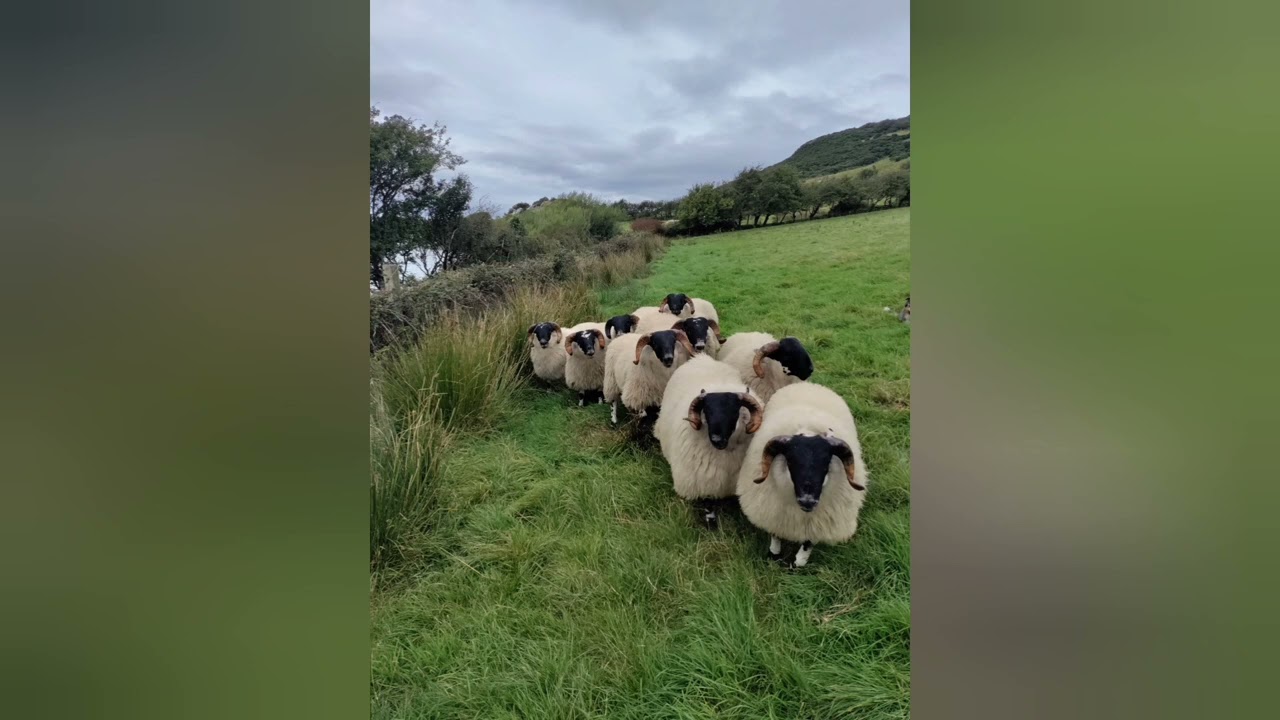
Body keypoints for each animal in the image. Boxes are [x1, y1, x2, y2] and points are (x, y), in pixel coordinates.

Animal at [654, 354, 765, 527]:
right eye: (706, 411)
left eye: (734, 411)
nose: (717, 439)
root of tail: (700, 358)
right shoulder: (703, 482)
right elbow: (708, 506)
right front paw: (711, 525)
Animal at [735, 382, 868, 568]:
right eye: (790, 461)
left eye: (826, 463)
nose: (808, 501)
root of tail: (809, 384)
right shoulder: (774, 510)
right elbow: (776, 533)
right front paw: (774, 555)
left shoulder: (817, 521)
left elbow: (807, 544)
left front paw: (798, 564)